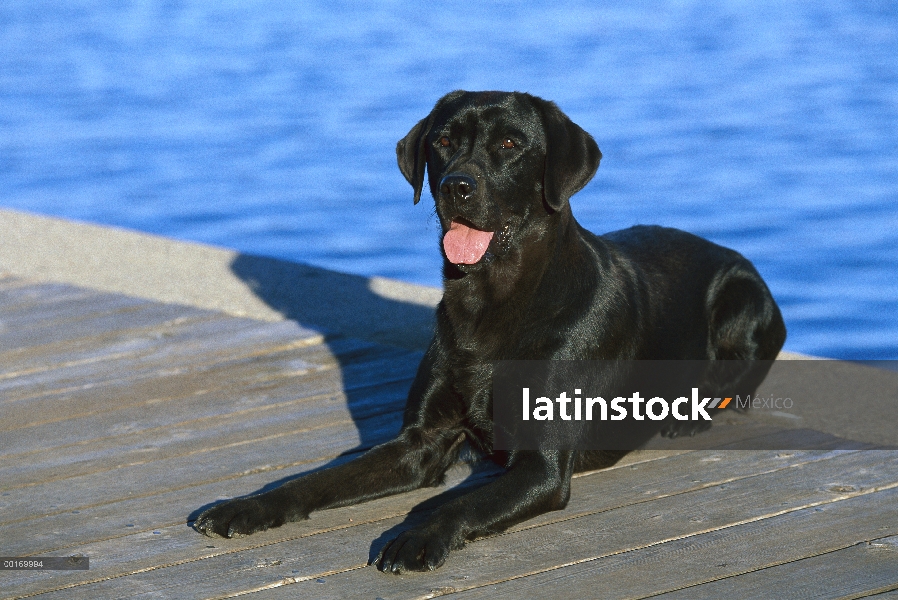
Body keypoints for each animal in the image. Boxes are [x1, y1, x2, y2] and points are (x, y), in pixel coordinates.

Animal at [196, 89, 784, 572]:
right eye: (442, 142)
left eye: (508, 144)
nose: (455, 185)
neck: (490, 303)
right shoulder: (418, 444)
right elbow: (317, 479)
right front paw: (247, 506)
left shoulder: (541, 466)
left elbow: (464, 501)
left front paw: (418, 536)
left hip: (743, 301)